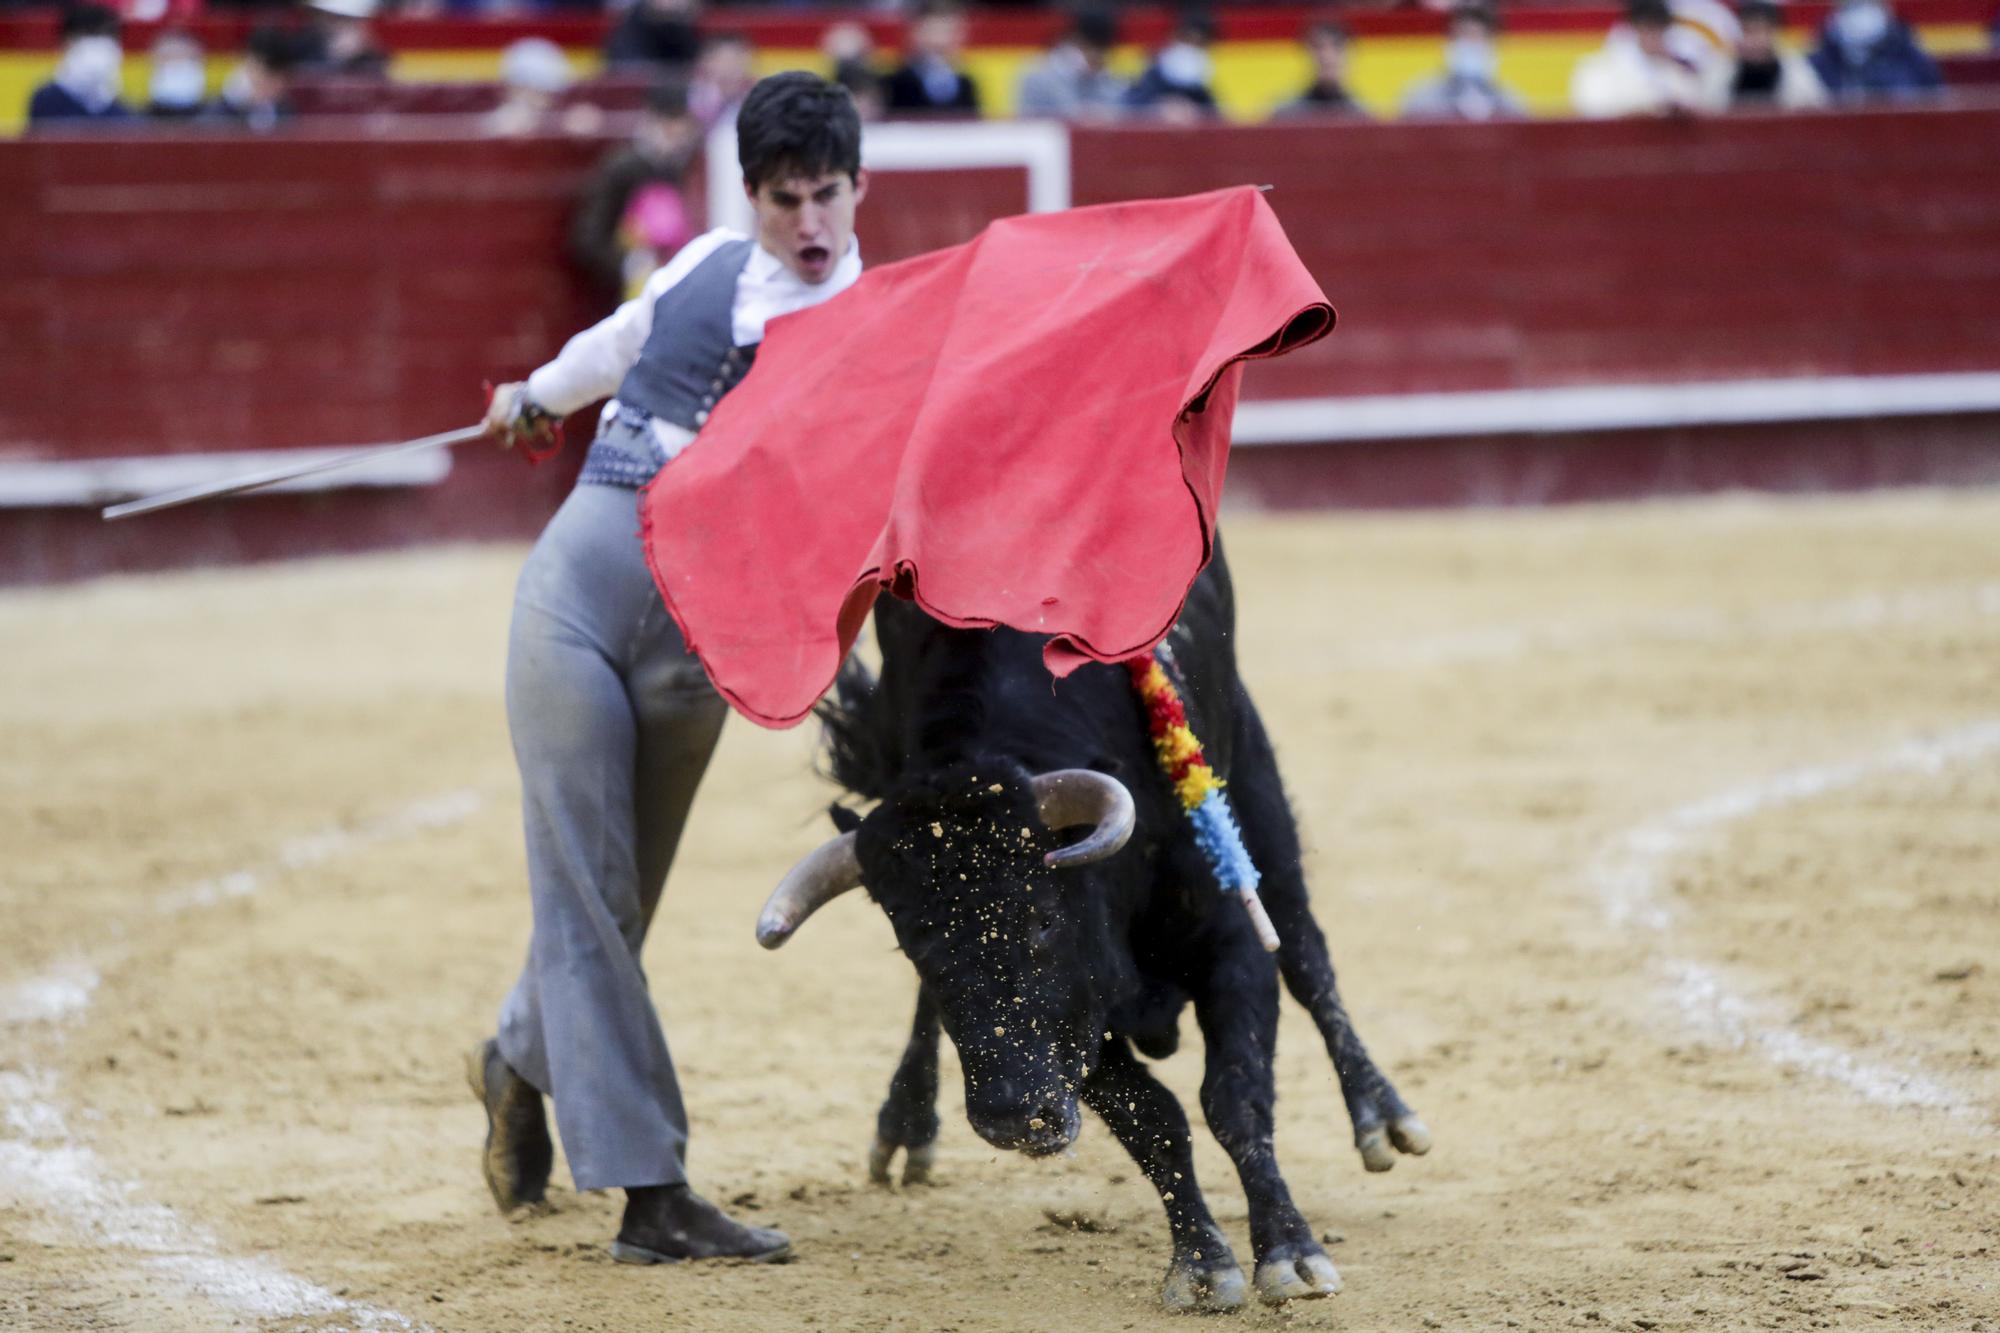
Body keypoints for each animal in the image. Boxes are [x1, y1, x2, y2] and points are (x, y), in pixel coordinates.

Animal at [752, 544, 1424, 1304]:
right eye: (913, 948)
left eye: (1044, 919)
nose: (1013, 1117)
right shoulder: (1079, 1020)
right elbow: (1153, 1119)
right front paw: (1201, 1263)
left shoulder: (1229, 947)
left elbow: (1235, 1096)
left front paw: (1290, 1251)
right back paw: (907, 1124)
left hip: (1256, 786)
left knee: (1308, 954)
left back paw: (1383, 1117)